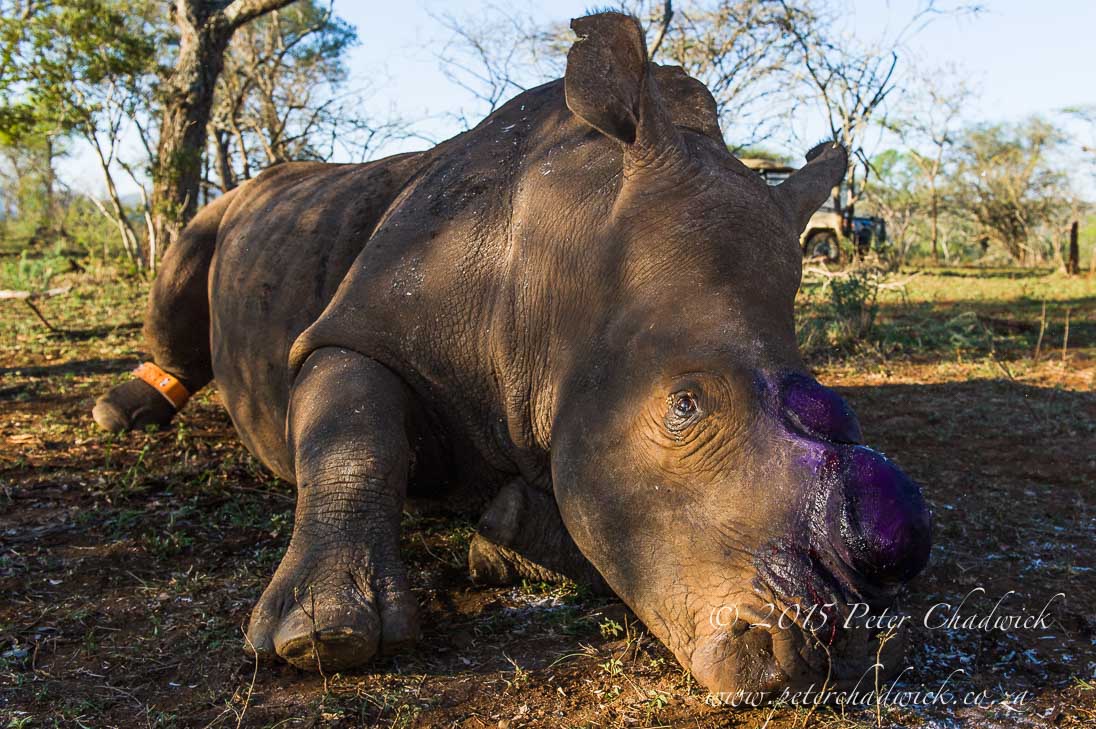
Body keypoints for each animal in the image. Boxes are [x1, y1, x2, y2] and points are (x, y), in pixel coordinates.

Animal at [92, 12, 931, 699]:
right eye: (685, 405)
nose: (831, 651)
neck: (565, 259)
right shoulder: (355, 326)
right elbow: (354, 436)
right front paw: (321, 639)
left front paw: (497, 540)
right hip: (233, 208)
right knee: (185, 260)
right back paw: (121, 413)